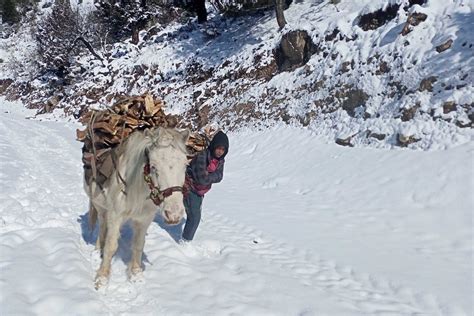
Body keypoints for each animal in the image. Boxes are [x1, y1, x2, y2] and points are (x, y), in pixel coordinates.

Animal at [86, 126, 190, 288]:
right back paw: (97, 253)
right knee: (102, 228)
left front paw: (136, 275)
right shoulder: (115, 215)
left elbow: (139, 245)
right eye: (153, 166)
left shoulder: (144, 220)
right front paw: (102, 279)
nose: (174, 214)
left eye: (185, 165)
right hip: (101, 208)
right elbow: (111, 245)